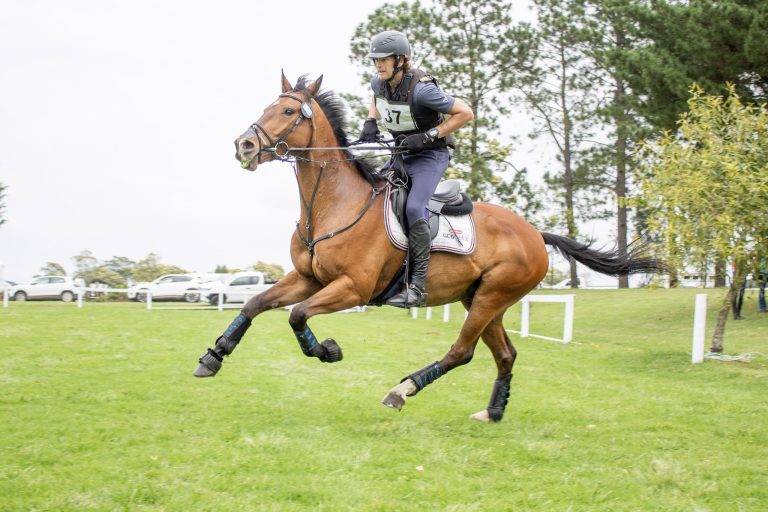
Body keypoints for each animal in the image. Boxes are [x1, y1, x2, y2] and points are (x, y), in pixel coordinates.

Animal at [193, 72, 665, 422]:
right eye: (267, 107)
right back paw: (492, 412)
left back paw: (402, 390)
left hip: (492, 295)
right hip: (482, 299)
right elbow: (255, 303)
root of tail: (534, 233)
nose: (244, 145)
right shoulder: (308, 277)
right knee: (505, 353)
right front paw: (214, 356)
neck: (331, 203)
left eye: (289, 111)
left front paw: (327, 350)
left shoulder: (353, 288)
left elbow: (296, 316)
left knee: (462, 351)